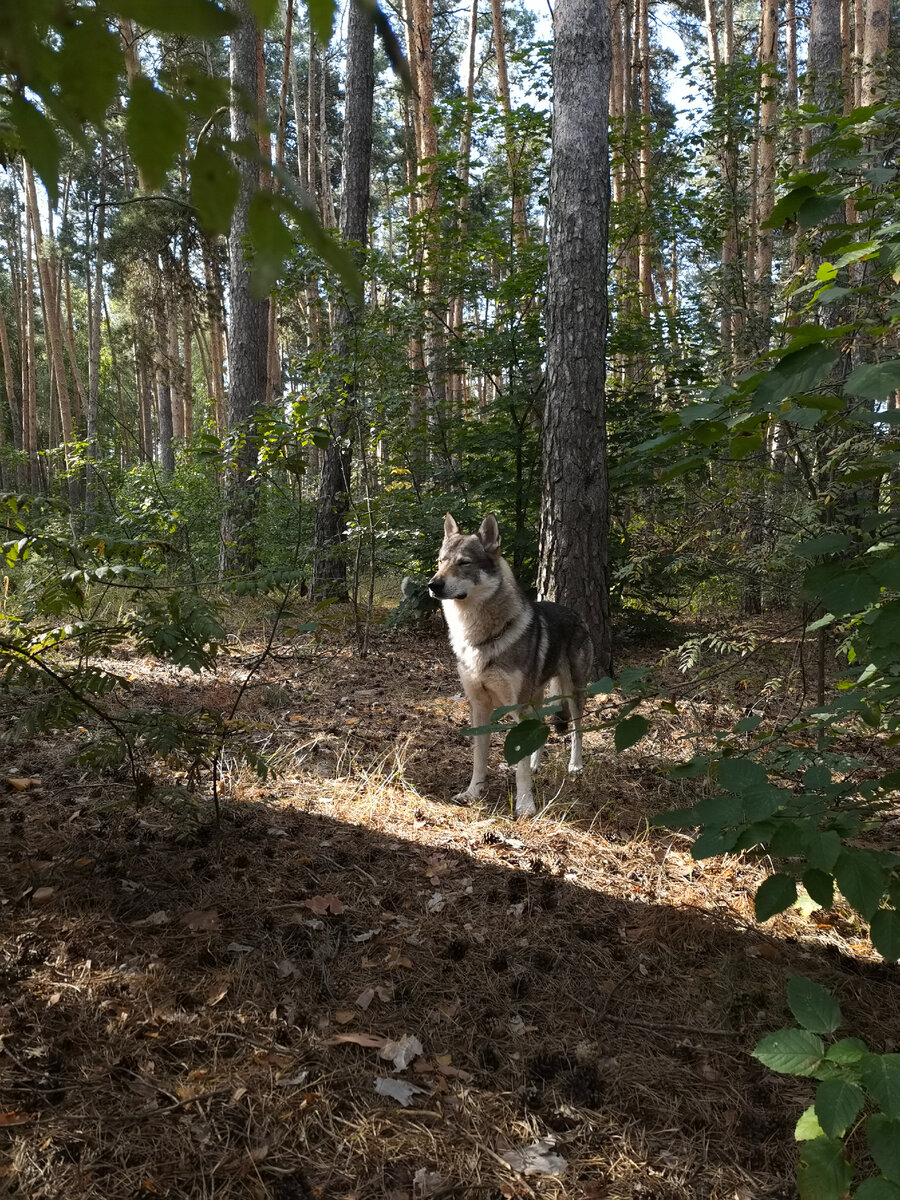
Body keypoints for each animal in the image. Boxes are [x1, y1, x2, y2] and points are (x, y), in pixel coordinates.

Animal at [427, 511, 595, 820]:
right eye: (441, 561)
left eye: (464, 563)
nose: (433, 585)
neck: (479, 638)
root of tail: (575, 613)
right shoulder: (478, 706)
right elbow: (479, 758)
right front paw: (473, 794)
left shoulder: (517, 707)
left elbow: (520, 772)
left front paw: (525, 805)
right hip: (537, 698)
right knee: (541, 728)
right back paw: (536, 765)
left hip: (572, 692)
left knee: (577, 728)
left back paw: (575, 766)